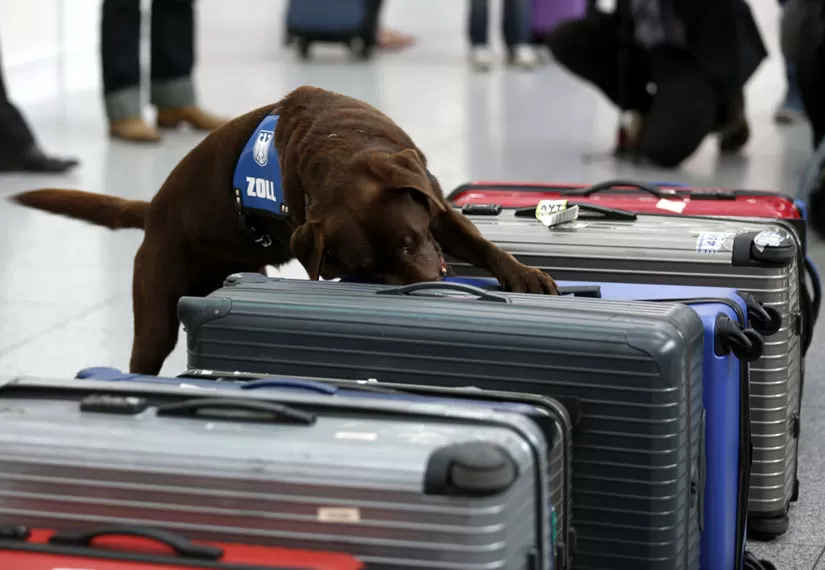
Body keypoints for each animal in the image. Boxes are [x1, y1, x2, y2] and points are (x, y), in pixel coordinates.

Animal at [12, 85, 556, 372]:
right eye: (365, 273)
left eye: (410, 240)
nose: (429, 289)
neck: (341, 144)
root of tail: (153, 210)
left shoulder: (436, 206)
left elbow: (481, 243)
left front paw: (526, 276)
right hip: (156, 311)